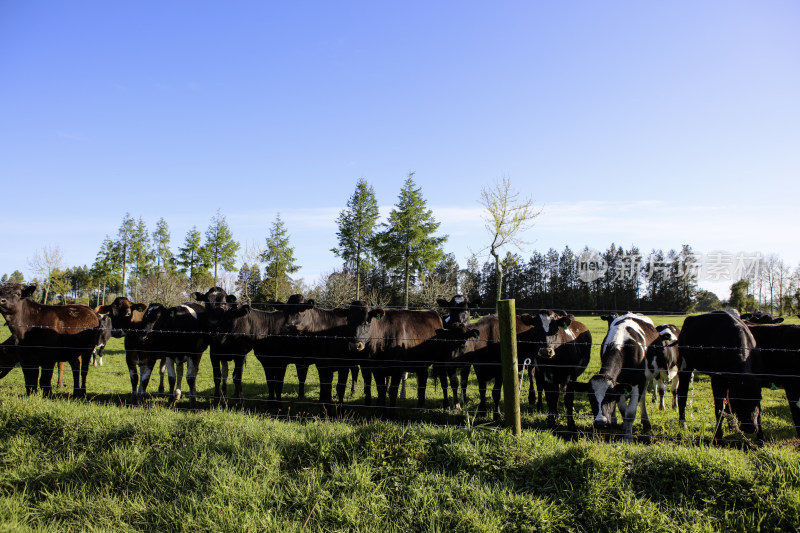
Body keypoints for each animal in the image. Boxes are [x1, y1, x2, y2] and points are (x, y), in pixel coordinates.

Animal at [588, 312, 664, 440]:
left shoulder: (638, 381)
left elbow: (630, 412)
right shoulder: (619, 384)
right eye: (591, 397)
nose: (600, 422)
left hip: (647, 378)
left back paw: (646, 421)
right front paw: (624, 427)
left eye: (609, 396)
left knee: (643, 397)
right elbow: (623, 409)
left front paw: (628, 438)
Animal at [680, 310, 764, 442]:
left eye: (758, 398)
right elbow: (719, 409)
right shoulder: (717, 380)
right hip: (685, 364)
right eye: (738, 399)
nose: (750, 427)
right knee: (682, 393)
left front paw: (761, 438)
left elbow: (758, 412)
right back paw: (683, 423)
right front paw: (718, 436)